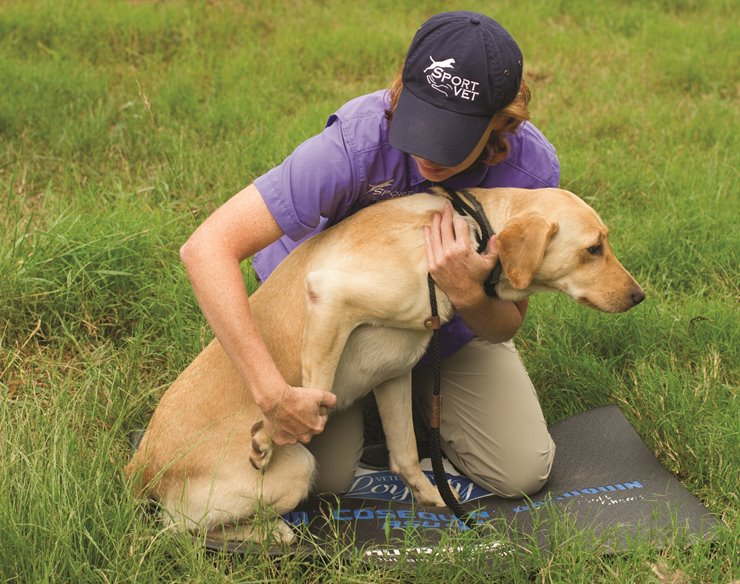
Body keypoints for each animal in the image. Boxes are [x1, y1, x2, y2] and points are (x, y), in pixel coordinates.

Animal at [125, 187, 640, 544]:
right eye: (593, 248)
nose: (639, 296)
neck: (469, 229)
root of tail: (141, 464)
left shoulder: (394, 374)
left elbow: (406, 453)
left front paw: (432, 499)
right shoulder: (329, 296)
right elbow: (312, 398)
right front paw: (271, 432)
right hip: (296, 468)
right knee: (176, 531)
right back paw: (271, 531)